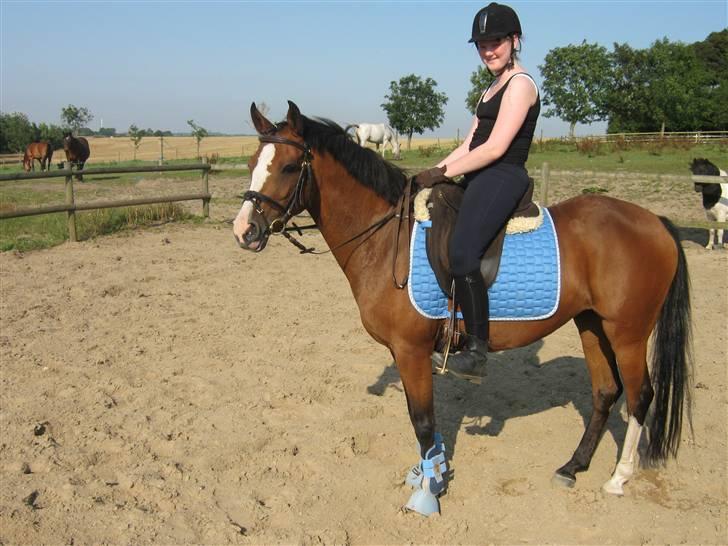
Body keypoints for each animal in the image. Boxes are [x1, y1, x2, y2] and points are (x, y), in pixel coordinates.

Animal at [233, 101, 692, 516]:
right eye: (253, 162)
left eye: (289, 167)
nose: (244, 231)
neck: (386, 239)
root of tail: (656, 221)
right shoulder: (408, 353)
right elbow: (426, 422)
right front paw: (426, 474)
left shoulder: (411, 350)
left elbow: (422, 421)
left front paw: (428, 493)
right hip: (592, 325)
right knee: (605, 392)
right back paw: (572, 466)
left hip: (627, 332)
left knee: (640, 396)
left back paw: (618, 478)